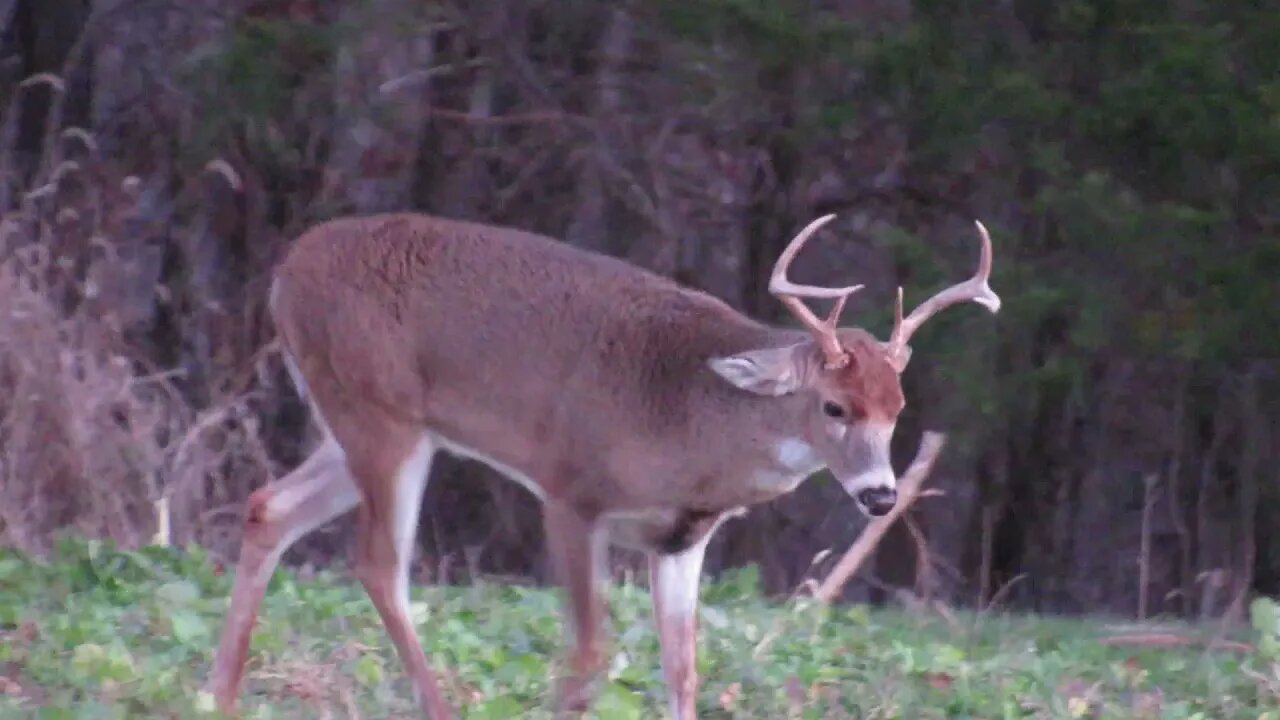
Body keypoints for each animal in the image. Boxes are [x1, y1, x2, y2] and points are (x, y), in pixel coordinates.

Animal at [207, 206, 998, 712]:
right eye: (835, 407)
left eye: (897, 409)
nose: (880, 496)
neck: (691, 421)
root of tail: (285, 270)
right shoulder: (570, 491)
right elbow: (587, 656)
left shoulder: (681, 540)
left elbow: (682, 670)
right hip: (380, 412)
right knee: (378, 563)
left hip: (362, 423)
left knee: (269, 508)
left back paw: (221, 695)